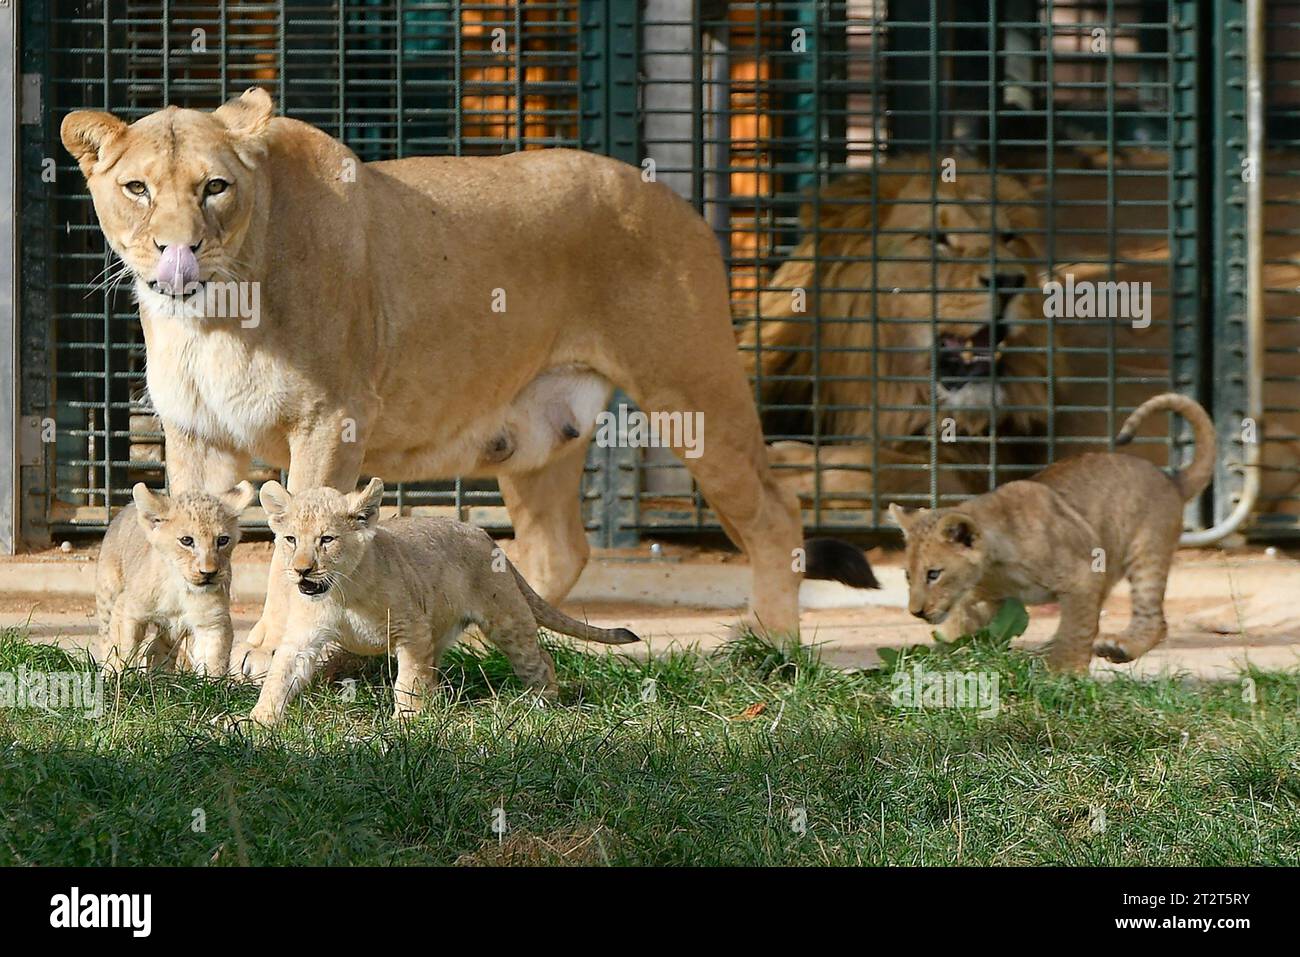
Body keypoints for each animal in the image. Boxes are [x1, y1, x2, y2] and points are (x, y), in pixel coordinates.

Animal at [61, 87, 876, 651]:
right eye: (137, 188)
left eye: (215, 187)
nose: (179, 250)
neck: (215, 315)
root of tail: (675, 200)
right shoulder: (195, 435)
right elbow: (190, 536)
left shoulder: (330, 420)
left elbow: (303, 535)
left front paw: (270, 645)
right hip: (540, 433)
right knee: (557, 546)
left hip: (692, 390)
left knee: (774, 511)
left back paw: (771, 646)